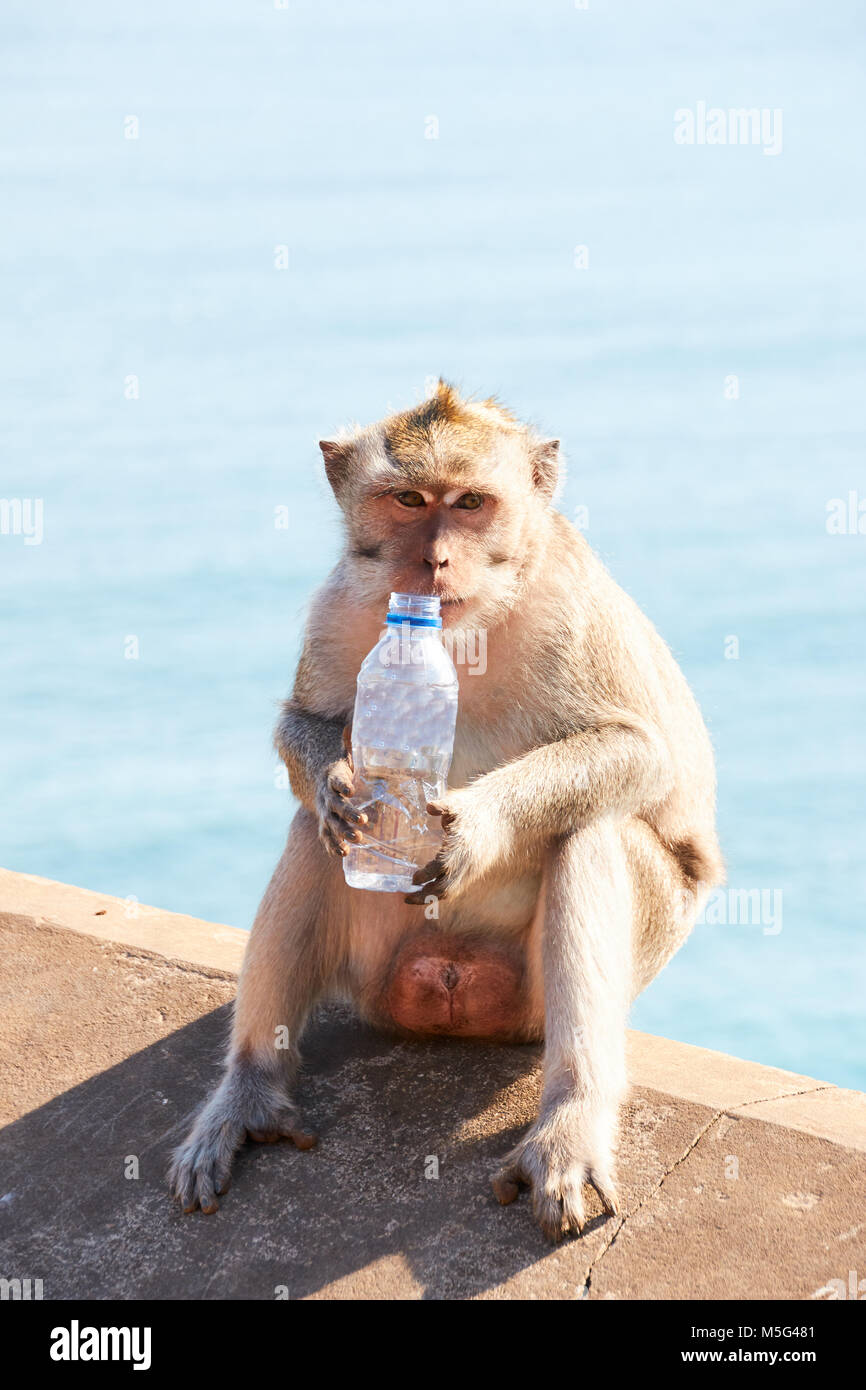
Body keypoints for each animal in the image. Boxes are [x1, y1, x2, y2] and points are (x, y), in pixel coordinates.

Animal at [169, 378, 722, 1239]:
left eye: (469, 503)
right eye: (407, 500)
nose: (433, 559)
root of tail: (452, 987)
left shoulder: (571, 608)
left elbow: (638, 751)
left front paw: (474, 828)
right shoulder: (339, 604)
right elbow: (308, 728)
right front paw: (337, 783)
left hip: (545, 997)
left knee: (591, 830)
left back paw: (571, 1120)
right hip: (379, 972)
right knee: (315, 840)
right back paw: (251, 1089)